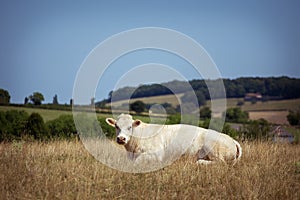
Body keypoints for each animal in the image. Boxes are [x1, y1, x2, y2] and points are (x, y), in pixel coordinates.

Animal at [105, 113, 241, 165]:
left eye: (129, 127)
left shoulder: (156, 154)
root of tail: (232, 140)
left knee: (221, 164)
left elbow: (137, 163)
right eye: (116, 126)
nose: (121, 138)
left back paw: (200, 162)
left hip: (213, 149)